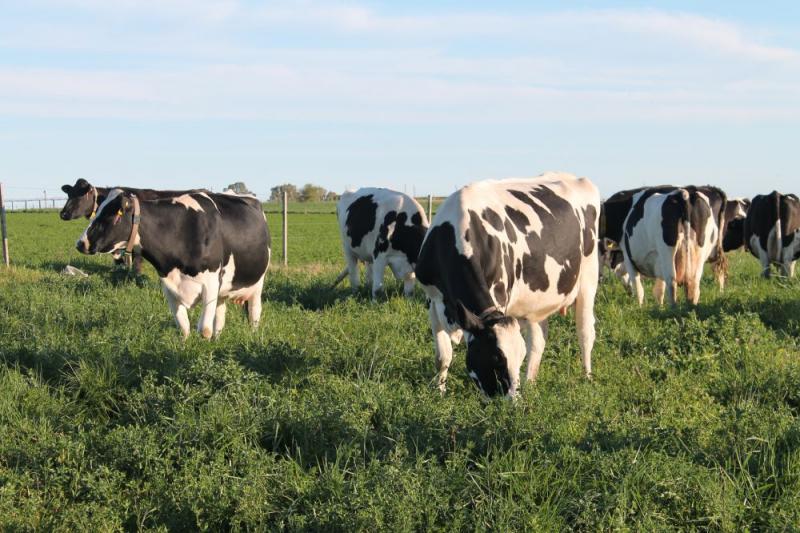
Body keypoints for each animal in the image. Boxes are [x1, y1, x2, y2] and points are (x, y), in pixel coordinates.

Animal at [74, 187, 270, 336]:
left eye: (111, 215)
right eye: (98, 211)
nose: (81, 243)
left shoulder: (211, 283)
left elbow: (204, 330)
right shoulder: (169, 286)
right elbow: (184, 328)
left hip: (256, 284)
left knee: (254, 315)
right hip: (223, 291)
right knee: (220, 319)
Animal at [416, 172, 596, 396]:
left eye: (517, 358)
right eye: (496, 359)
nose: (512, 401)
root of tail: (572, 176)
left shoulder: (500, 298)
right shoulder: (433, 301)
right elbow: (443, 356)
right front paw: (439, 392)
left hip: (588, 279)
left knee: (585, 332)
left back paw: (587, 378)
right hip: (537, 300)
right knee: (538, 341)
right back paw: (530, 383)